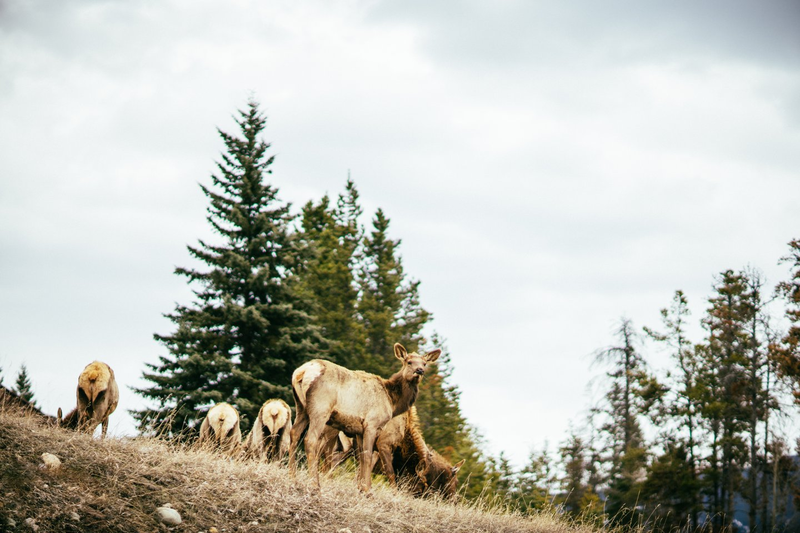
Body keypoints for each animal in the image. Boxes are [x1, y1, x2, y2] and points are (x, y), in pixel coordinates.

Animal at [288, 342, 440, 492]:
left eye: (425, 363)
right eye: (409, 362)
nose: (419, 371)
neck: (392, 402)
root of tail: (301, 372)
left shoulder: (359, 430)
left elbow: (362, 459)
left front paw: (362, 488)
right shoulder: (373, 426)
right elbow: (369, 458)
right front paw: (367, 490)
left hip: (301, 408)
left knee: (294, 434)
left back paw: (293, 476)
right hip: (320, 409)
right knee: (311, 440)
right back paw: (314, 483)